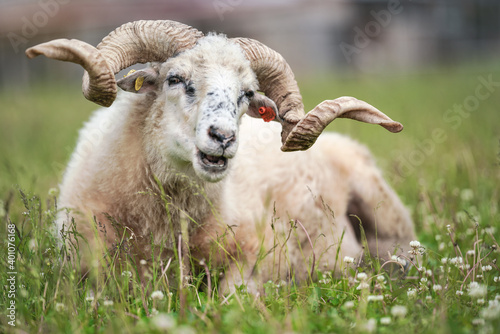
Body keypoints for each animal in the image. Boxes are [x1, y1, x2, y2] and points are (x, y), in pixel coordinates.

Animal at [26, 20, 414, 292]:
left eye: (246, 94)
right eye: (174, 78)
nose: (223, 137)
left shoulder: (260, 253)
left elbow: (231, 296)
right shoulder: (84, 267)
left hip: (385, 208)